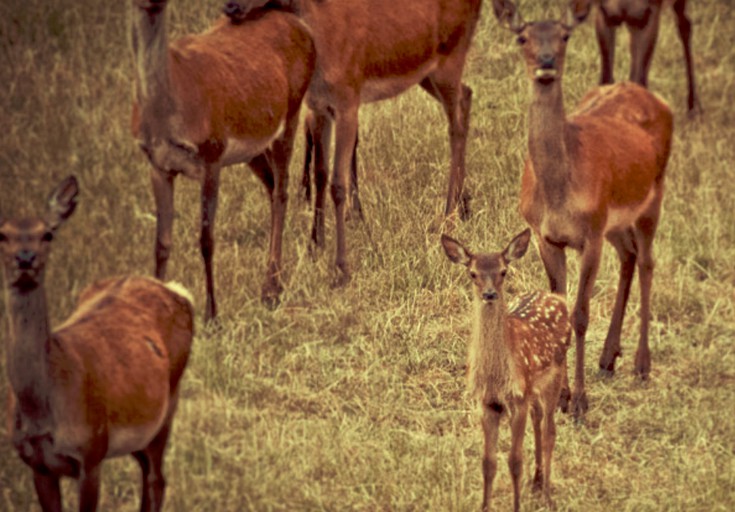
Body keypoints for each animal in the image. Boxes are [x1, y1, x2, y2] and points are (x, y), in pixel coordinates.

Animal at [0, 177, 196, 512]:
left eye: (47, 233)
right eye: (2, 234)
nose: (25, 258)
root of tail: (177, 291)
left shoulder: (91, 452)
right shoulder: (37, 464)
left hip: (167, 407)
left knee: (157, 480)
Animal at [131, 0, 314, 320]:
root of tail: (299, 24)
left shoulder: (211, 153)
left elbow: (206, 239)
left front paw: (212, 314)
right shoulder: (158, 165)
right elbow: (161, 244)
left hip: (290, 110)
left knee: (282, 191)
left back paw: (271, 288)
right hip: (254, 147)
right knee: (271, 187)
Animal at [440, 230, 572, 512]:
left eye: (503, 271)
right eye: (472, 273)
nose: (490, 294)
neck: (496, 376)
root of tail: (557, 298)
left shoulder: (517, 399)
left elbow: (515, 461)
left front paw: (517, 506)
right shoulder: (487, 403)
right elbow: (488, 462)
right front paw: (484, 507)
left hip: (554, 375)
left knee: (549, 429)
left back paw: (546, 494)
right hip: (534, 386)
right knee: (538, 420)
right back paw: (536, 482)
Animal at [492, 0, 676, 416]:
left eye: (564, 36)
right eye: (522, 37)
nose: (545, 62)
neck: (561, 195)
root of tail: (657, 99)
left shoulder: (589, 234)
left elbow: (579, 315)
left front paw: (578, 402)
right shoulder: (545, 236)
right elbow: (559, 308)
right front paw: (559, 396)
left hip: (652, 196)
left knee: (647, 261)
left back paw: (641, 364)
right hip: (615, 220)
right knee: (628, 255)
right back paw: (608, 358)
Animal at [568, 0, 700, 116]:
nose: (577, 9)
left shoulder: (649, 16)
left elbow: (639, 81)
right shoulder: (606, 15)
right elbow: (606, 79)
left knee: (685, 25)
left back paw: (694, 107)